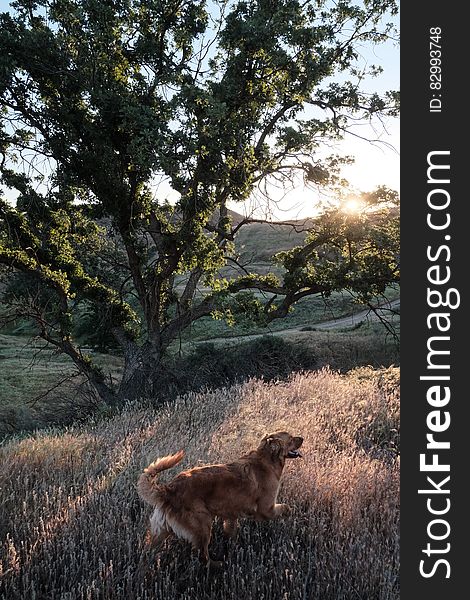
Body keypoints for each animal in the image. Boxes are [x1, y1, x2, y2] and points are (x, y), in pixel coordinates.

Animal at [138, 428, 302, 564]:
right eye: (291, 438)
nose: (302, 438)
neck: (266, 458)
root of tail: (168, 490)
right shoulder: (266, 509)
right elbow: (287, 508)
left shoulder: (231, 515)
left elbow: (231, 531)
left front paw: (232, 546)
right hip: (202, 526)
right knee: (203, 558)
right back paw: (217, 565)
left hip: (160, 533)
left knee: (147, 554)